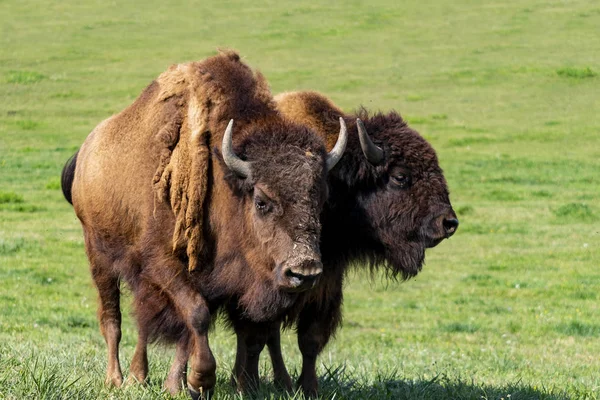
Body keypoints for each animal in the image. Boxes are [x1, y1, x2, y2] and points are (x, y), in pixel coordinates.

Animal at [60, 54, 346, 396]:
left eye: (321, 199)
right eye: (261, 200)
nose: (304, 271)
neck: (224, 182)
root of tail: (86, 153)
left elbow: (218, 329)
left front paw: (201, 385)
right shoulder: (164, 265)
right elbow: (197, 315)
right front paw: (200, 380)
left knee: (142, 324)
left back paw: (140, 377)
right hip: (100, 258)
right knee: (112, 318)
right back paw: (117, 379)